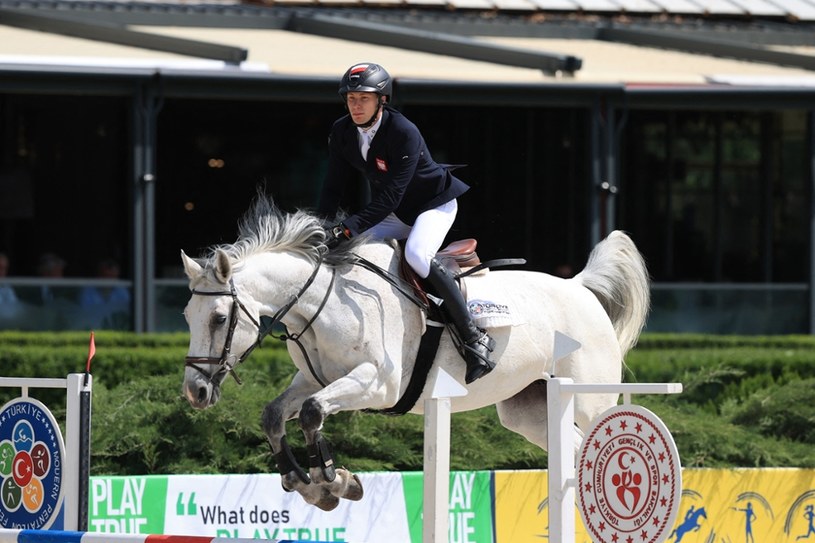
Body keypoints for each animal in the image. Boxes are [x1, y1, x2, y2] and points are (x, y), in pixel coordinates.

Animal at [180, 197, 652, 516]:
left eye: (219, 318)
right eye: (187, 316)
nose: (195, 392)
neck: (323, 301)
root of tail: (579, 286)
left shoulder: (378, 383)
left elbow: (313, 413)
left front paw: (334, 482)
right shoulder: (315, 380)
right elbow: (275, 415)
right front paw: (309, 485)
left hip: (590, 401)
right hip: (530, 411)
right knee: (570, 450)